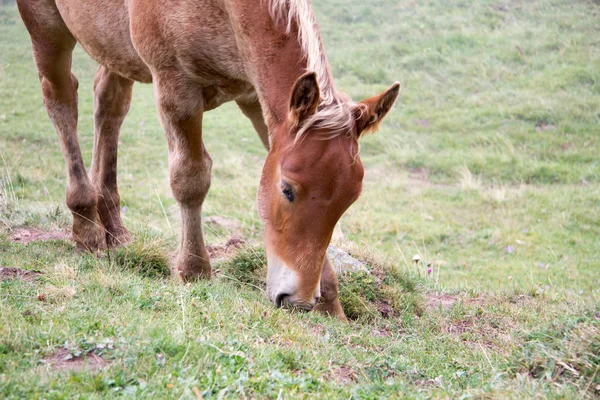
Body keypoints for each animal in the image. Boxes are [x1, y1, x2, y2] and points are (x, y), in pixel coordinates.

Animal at [15, 0, 398, 318]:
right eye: (288, 190)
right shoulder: (176, 90)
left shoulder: (257, 102)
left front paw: (330, 301)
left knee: (109, 105)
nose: (297, 300)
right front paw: (193, 270)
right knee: (61, 99)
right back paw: (86, 223)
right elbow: (191, 178)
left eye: (348, 201)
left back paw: (113, 226)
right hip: (46, 25)